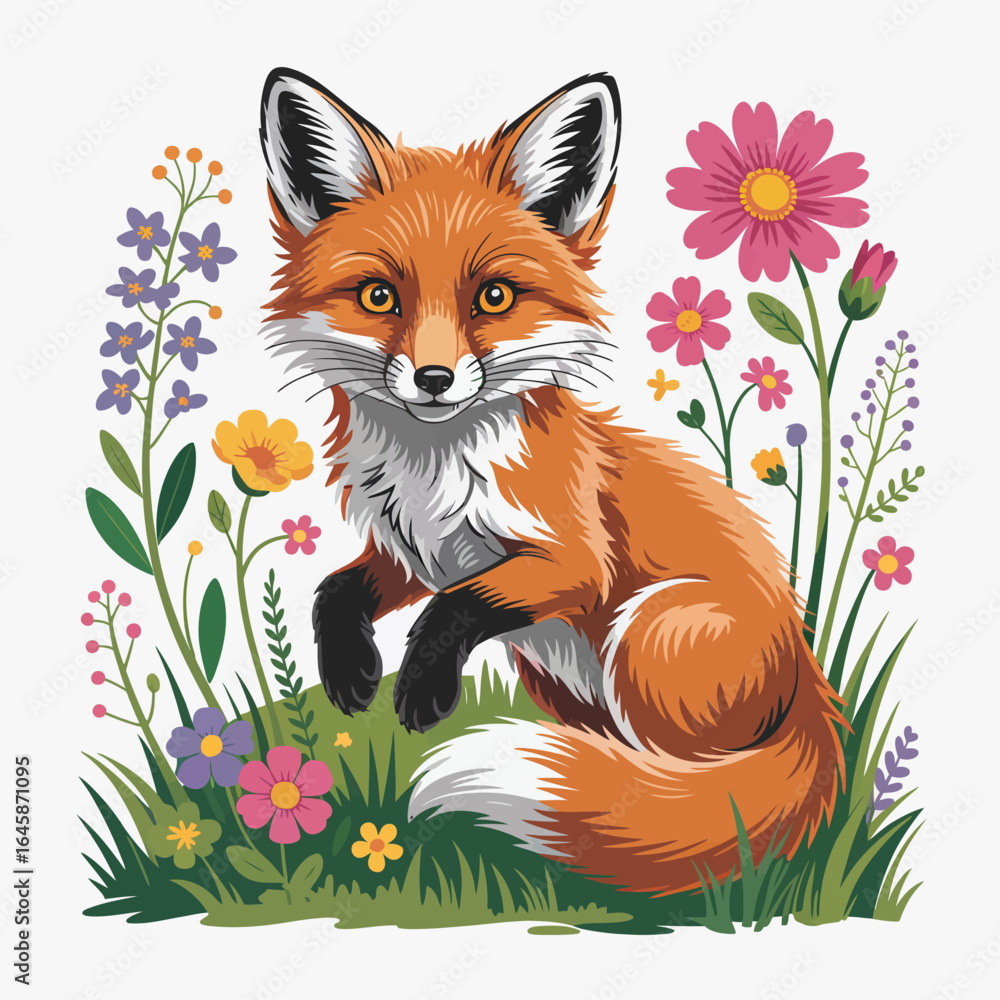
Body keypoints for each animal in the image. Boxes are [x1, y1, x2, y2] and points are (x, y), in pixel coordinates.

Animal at [258, 67, 845, 895]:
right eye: (379, 297)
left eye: (494, 297)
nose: (434, 379)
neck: (436, 469)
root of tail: (810, 683)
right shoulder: (417, 550)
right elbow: (338, 589)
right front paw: (350, 669)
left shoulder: (570, 558)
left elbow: (455, 607)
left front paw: (421, 686)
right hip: (551, 670)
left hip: (646, 630)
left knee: (690, 786)